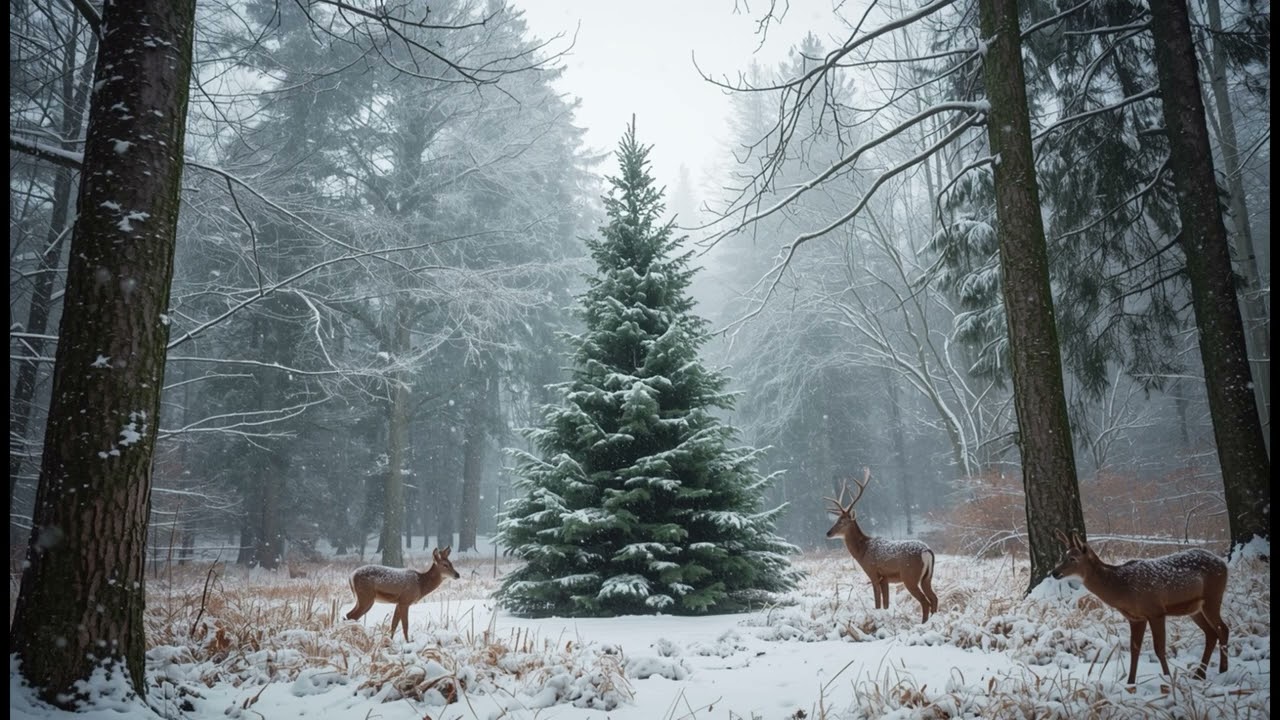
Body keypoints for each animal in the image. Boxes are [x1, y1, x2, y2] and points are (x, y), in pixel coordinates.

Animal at [825, 467, 938, 623]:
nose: (828, 533)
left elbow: (877, 603)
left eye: (842, 521)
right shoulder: (885, 578)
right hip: (927, 576)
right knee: (934, 598)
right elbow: (886, 604)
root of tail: (926, 551)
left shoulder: (872, 572)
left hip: (910, 576)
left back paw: (923, 624)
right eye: (836, 519)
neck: (862, 551)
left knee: (925, 601)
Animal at [1050, 531, 1229, 686]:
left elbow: (1159, 649)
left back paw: (1223, 670)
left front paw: (1167, 679)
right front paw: (1130, 683)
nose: (1054, 572)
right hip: (1195, 609)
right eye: (1063, 556)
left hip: (1213, 597)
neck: (1122, 589)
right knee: (1211, 634)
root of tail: (1224, 564)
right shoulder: (1136, 618)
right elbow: (1134, 649)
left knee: (1223, 628)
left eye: (1073, 558)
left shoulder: (1156, 611)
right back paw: (1200, 674)